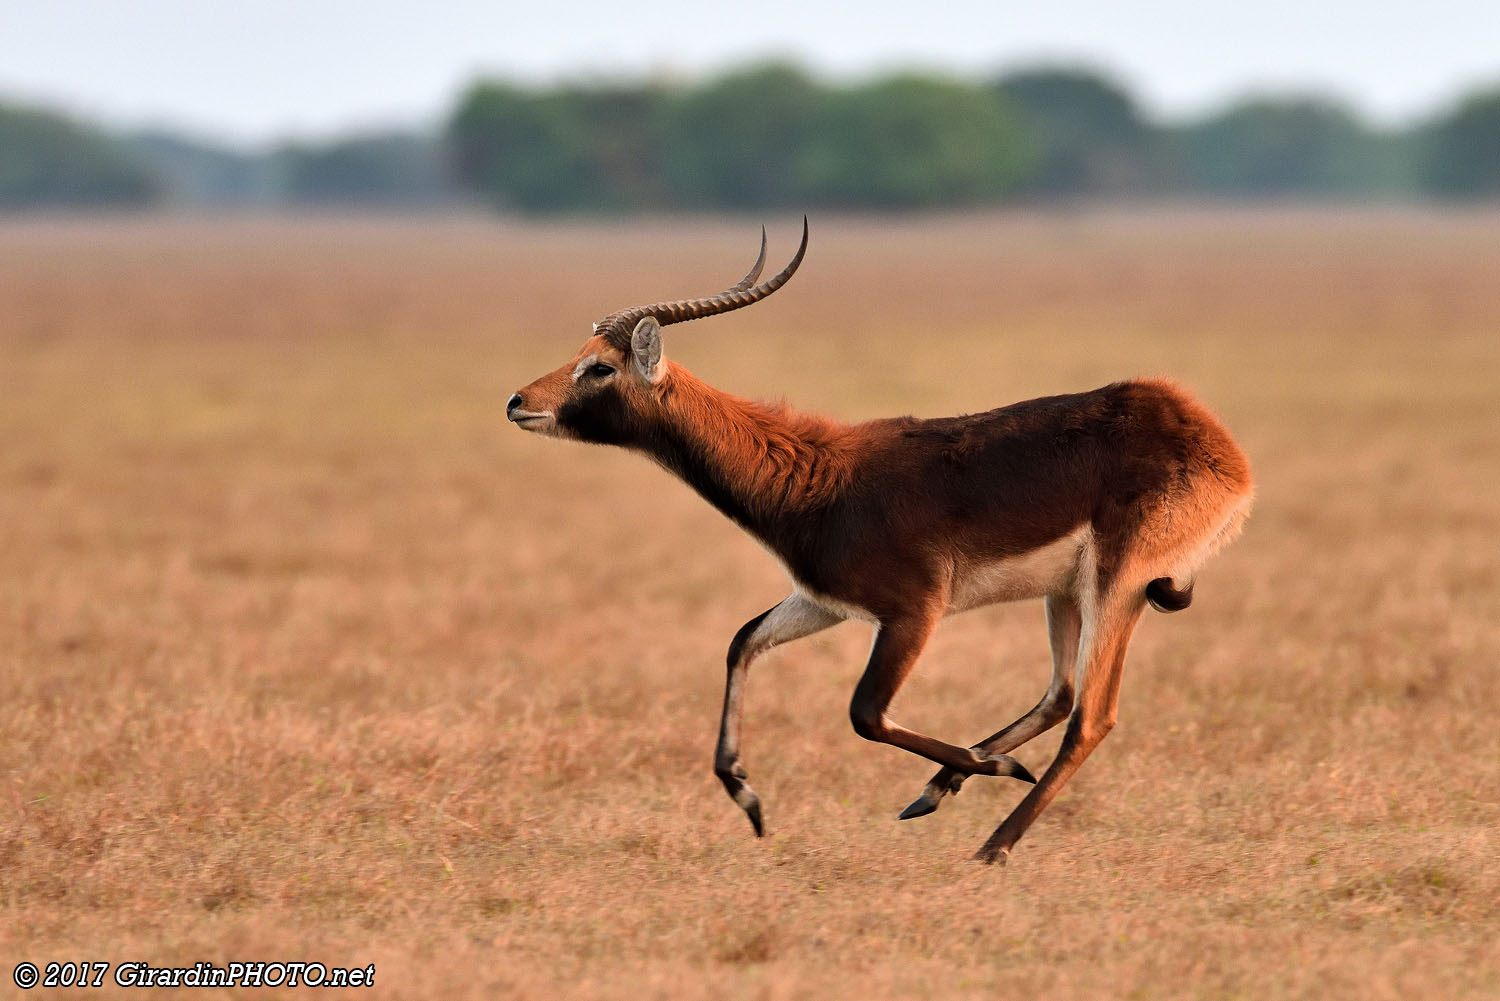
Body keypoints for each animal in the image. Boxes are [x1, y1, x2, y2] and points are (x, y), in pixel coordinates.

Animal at [507, 220, 1254, 864]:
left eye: (600, 369)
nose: (518, 401)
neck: (814, 477)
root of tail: (1218, 444)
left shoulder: (913, 611)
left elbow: (864, 713)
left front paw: (992, 765)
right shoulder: (824, 600)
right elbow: (742, 641)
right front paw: (749, 800)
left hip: (1117, 583)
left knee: (1091, 716)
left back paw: (991, 844)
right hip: (1067, 592)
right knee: (1062, 695)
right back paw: (936, 795)